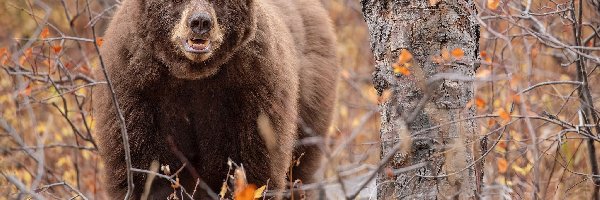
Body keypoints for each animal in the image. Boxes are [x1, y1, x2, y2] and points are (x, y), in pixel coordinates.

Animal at [93, 0, 338, 198]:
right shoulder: (137, 91)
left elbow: (251, 170)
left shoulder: (252, 91)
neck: (193, 74)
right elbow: (146, 172)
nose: (200, 22)